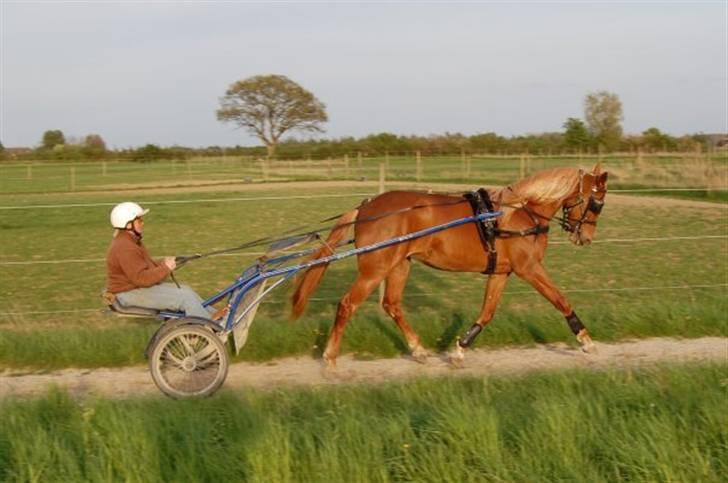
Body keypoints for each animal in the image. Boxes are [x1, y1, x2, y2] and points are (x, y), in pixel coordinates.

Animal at [290, 164, 608, 368]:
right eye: (596, 202)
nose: (585, 237)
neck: (516, 214)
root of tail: (366, 208)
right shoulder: (528, 268)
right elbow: (561, 300)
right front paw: (586, 340)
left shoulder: (501, 272)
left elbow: (487, 313)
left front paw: (459, 350)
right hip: (375, 269)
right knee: (347, 304)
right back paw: (330, 357)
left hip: (400, 265)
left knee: (391, 305)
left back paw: (418, 350)